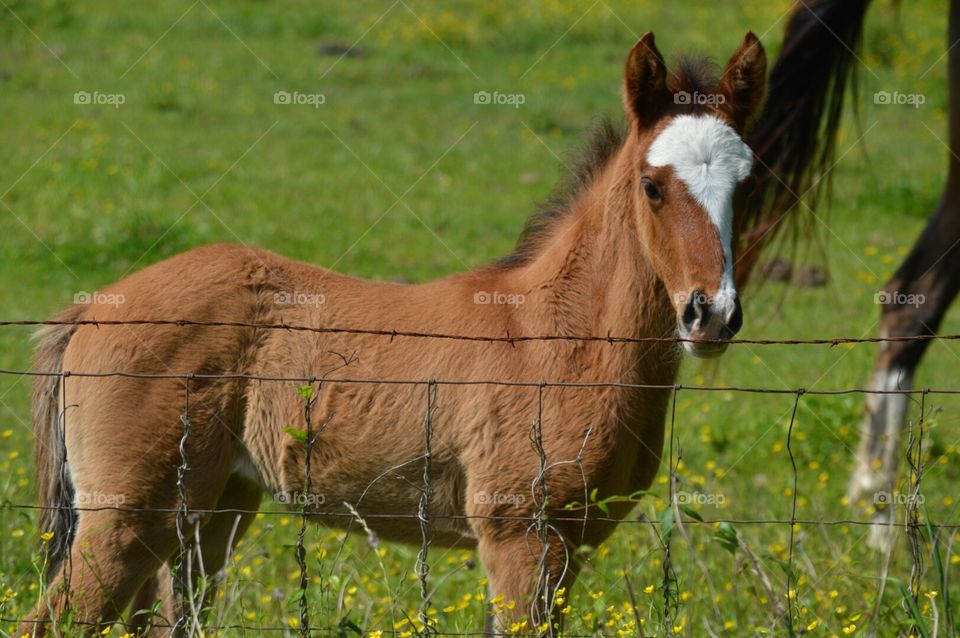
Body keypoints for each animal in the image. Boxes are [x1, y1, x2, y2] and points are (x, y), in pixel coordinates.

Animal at [24, 32, 766, 636]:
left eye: (749, 186)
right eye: (652, 186)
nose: (710, 314)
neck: (560, 338)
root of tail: (93, 309)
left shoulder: (571, 546)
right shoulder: (520, 538)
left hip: (210, 513)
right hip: (125, 519)